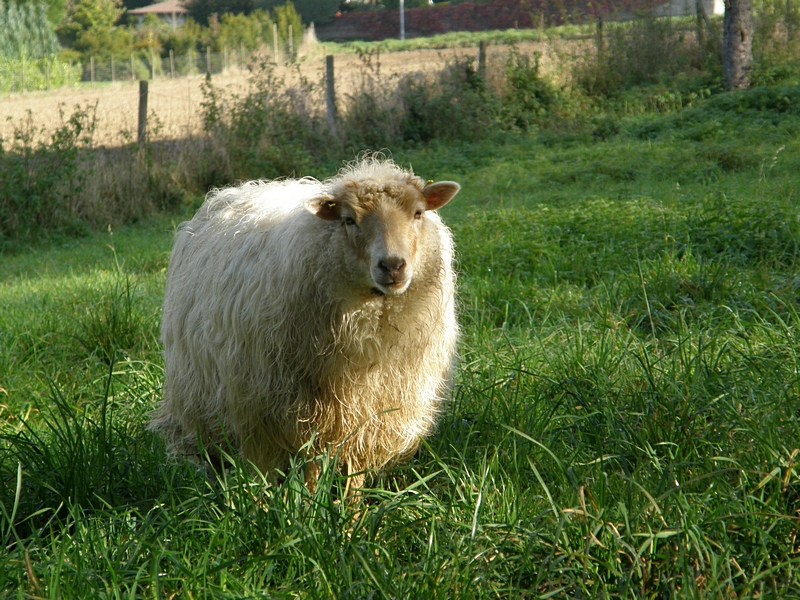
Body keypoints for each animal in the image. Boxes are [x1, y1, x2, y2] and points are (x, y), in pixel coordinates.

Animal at [151, 156, 462, 492]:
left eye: (418, 213)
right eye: (349, 219)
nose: (392, 266)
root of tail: (232, 191)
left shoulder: (373, 410)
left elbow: (356, 472)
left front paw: (350, 507)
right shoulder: (298, 411)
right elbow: (312, 470)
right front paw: (311, 504)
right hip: (203, 392)